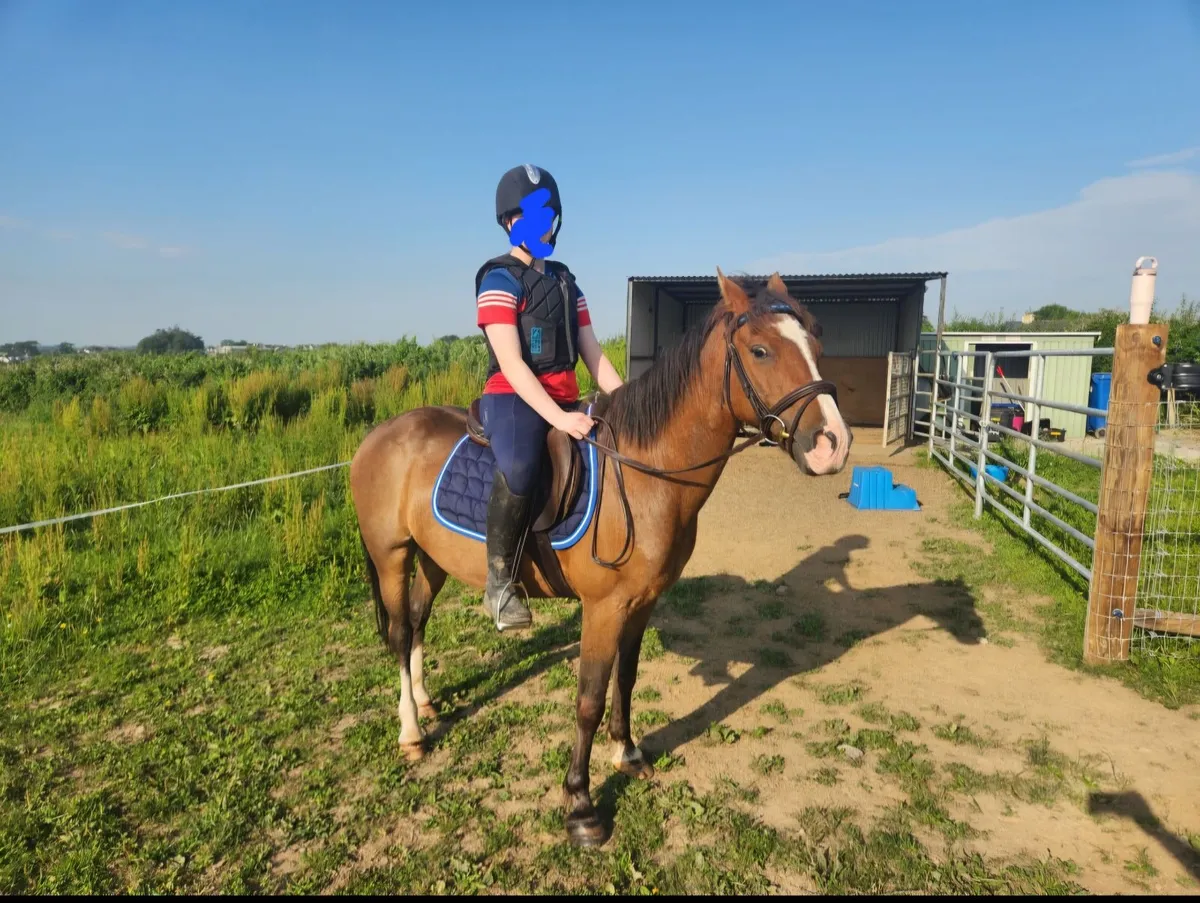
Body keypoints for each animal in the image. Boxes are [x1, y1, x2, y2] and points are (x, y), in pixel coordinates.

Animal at [349, 268, 853, 848]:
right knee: (399, 632)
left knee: (417, 619)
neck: (642, 472)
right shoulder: (603, 608)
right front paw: (580, 805)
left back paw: (426, 701)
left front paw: (628, 753)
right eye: (761, 350)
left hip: (433, 558)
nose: (834, 444)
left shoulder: (643, 601)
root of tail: (379, 434)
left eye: (817, 345)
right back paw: (411, 730)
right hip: (392, 555)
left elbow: (626, 679)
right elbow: (588, 700)